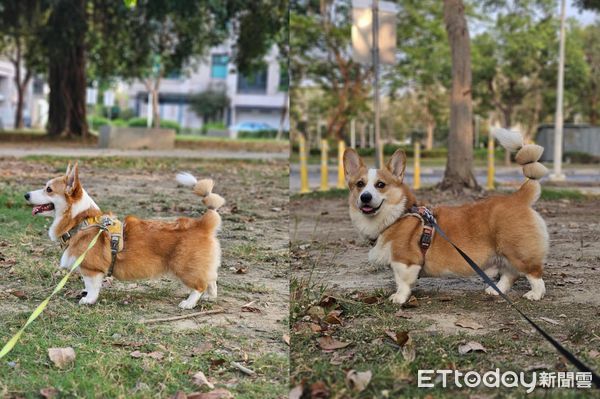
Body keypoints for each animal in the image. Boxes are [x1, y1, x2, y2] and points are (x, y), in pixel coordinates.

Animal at [22, 162, 225, 310]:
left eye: (48, 189)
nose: (26, 195)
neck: (80, 220)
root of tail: (203, 223)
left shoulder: (91, 270)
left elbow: (92, 286)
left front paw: (88, 300)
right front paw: (85, 293)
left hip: (184, 268)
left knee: (200, 285)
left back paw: (189, 303)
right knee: (212, 279)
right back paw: (210, 297)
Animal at [346, 130, 548, 304]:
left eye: (380, 185)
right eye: (360, 184)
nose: (365, 197)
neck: (396, 216)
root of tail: (518, 197)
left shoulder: (404, 261)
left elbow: (402, 282)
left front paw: (399, 297)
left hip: (517, 252)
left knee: (534, 274)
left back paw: (535, 294)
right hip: (504, 254)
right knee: (510, 274)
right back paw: (495, 290)